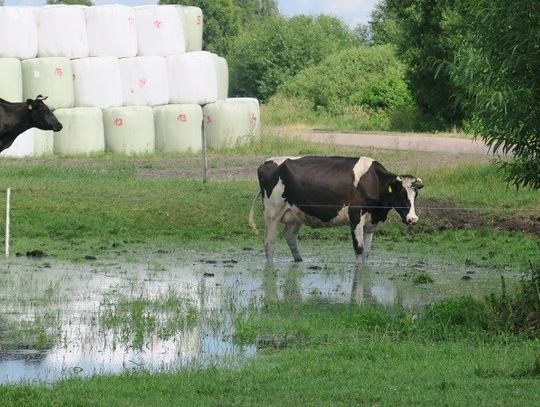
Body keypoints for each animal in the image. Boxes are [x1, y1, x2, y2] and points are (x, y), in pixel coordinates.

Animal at [251, 156, 424, 268]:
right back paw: (270, 267)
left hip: (296, 214)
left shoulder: (370, 223)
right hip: (272, 212)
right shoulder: (355, 217)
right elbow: (359, 249)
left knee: (290, 237)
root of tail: (265, 163)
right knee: (269, 242)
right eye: (401, 194)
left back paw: (299, 261)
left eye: (415, 196)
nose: (413, 219)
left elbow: (367, 252)